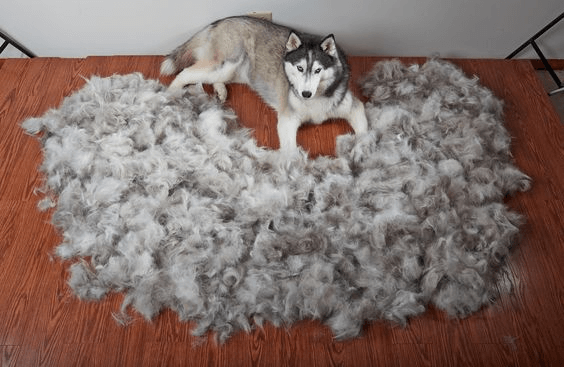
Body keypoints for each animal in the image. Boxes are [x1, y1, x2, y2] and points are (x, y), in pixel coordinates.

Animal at [161, 15, 368, 151]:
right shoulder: (287, 119)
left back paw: (220, 90)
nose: (305, 94)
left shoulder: (353, 106)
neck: (315, 100)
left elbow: (364, 133)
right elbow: (290, 152)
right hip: (224, 63)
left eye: (318, 70)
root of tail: (223, 20)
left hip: (238, 72)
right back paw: (169, 96)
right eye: (300, 68)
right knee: (186, 73)